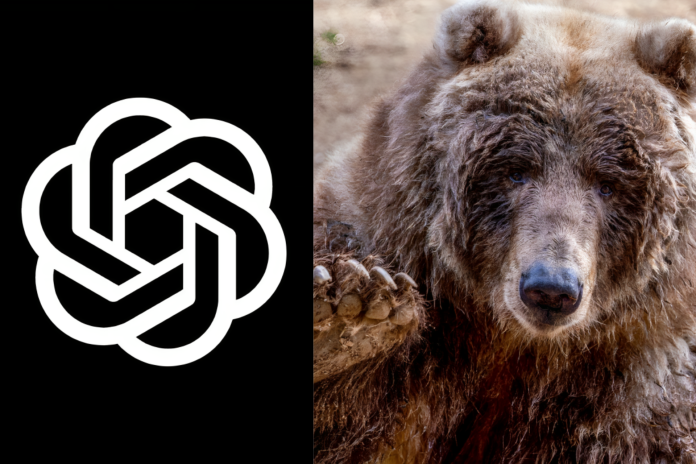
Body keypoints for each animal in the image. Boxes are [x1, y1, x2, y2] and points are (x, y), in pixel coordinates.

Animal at [313, 1, 696, 463]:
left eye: (608, 183)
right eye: (516, 170)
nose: (551, 289)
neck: (505, 336)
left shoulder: (636, 383)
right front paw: (352, 310)